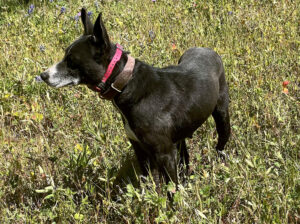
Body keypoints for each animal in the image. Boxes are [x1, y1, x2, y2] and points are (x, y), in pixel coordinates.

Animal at [38, 8, 231, 187]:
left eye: (71, 60)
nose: (43, 75)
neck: (126, 82)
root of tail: (207, 50)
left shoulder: (165, 153)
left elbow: (171, 191)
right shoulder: (140, 150)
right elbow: (147, 184)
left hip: (222, 115)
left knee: (221, 145)